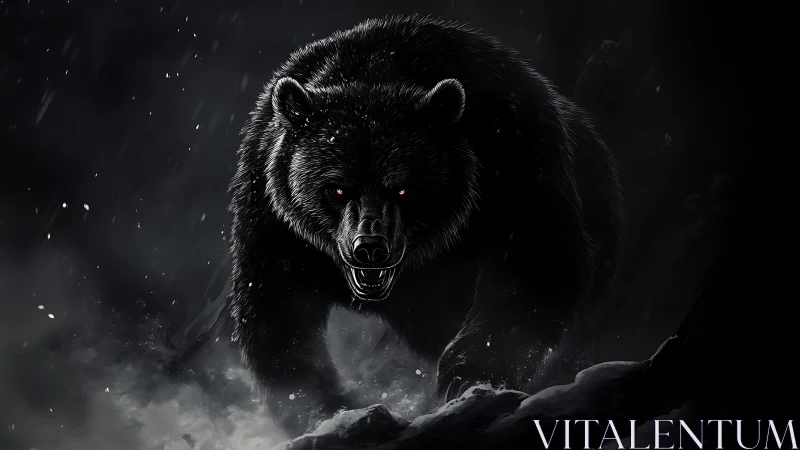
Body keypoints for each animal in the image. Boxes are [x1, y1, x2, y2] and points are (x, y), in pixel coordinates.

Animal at [228, 14, 625, 436]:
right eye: (336, 188)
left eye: (403, 188)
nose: (370, 247)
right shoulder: (274, 221)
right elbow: (276, 315)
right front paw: (325, 410)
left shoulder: (515, 161)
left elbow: (534, 268)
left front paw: (469, 378)